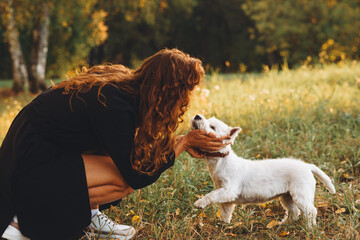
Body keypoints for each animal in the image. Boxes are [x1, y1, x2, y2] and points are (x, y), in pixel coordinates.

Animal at [191, 114, 334, 227]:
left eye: (212, 127)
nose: (197, 116)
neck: (220, 160)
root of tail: (307, 166)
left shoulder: (229, 190)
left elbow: (211, 195)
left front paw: (199, 203)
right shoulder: (226, 197)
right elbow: (225, 212)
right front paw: (224, 226)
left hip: (301, 193)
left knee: (310, 211)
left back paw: (310, 228)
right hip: (287, 195)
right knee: (294, 211)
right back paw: (283, 224)